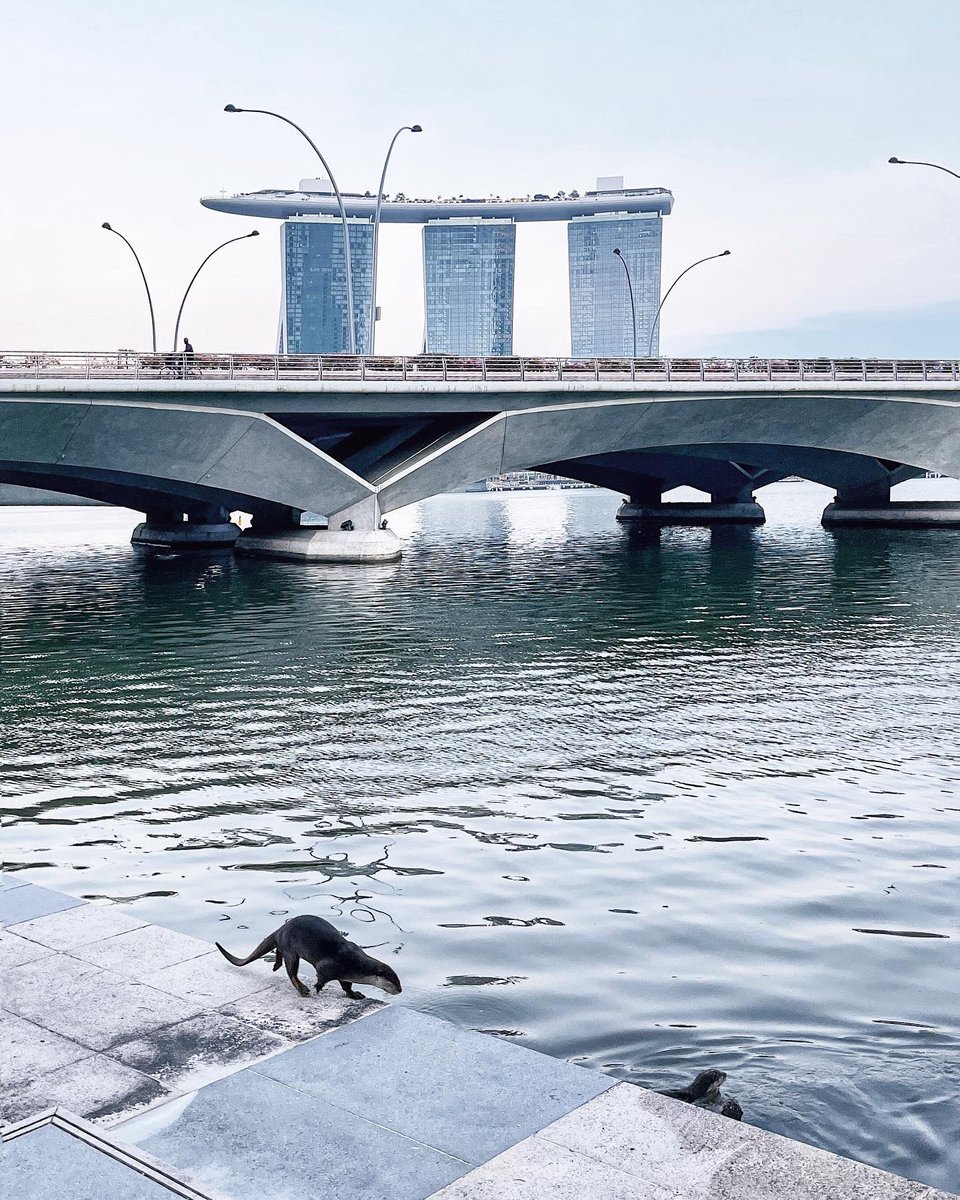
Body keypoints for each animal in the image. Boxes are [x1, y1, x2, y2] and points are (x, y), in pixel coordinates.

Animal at [216, 914, 402, 1000]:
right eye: (394, 981)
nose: (400, 990)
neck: (355, 965)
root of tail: (280, 929)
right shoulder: (328, 967)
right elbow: (321, 977)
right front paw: (318, 987)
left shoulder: (344, 975)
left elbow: (346, 986)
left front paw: (354, 994)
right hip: (291, 949)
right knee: (291, 971)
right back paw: (302, 989)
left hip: (285, 945)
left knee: (279, 953)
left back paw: (276, 965)